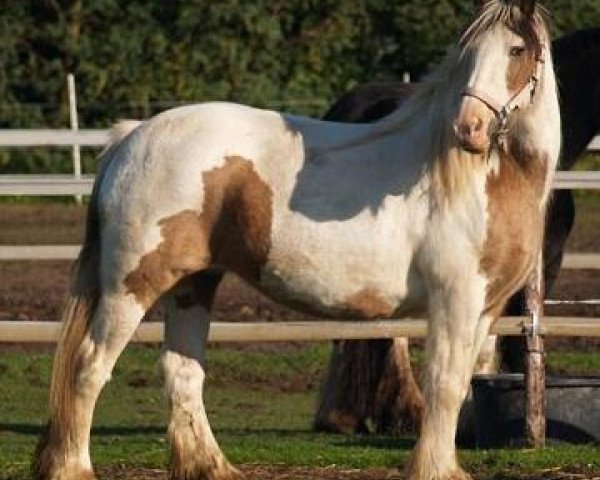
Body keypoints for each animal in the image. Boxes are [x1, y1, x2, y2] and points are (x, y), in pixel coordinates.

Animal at [35, 0, 564, 480]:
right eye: (468, 52)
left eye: (517, 49)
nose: (468, 129)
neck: (486, 178)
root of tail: (130, 138)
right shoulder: (454, 299)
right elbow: (444, 384)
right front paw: (433, 470)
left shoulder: (485, 307)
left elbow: (464, 383)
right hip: (132, 285)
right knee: (88, 367)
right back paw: (74, 468)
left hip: (193, 283)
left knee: (182, 372)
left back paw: (211, 467)